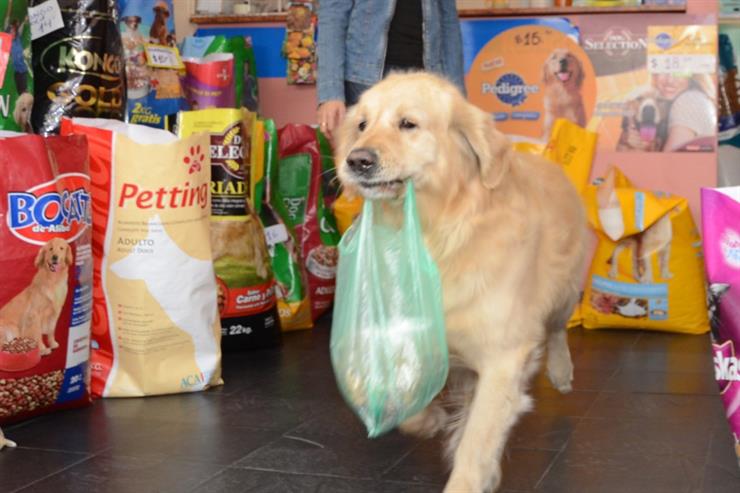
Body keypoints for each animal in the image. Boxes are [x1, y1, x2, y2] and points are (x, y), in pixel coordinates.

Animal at [332, 71, 588, 490]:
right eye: (362, 125)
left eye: (408, 124)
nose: (357, 160)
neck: (437, 233)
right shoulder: (408, 333)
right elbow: (396, 396)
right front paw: (428, 419)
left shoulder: (503, 357)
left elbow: (476, 441)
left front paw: (468, 475)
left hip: (564, 292)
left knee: (556, 330)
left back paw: (561, 372)